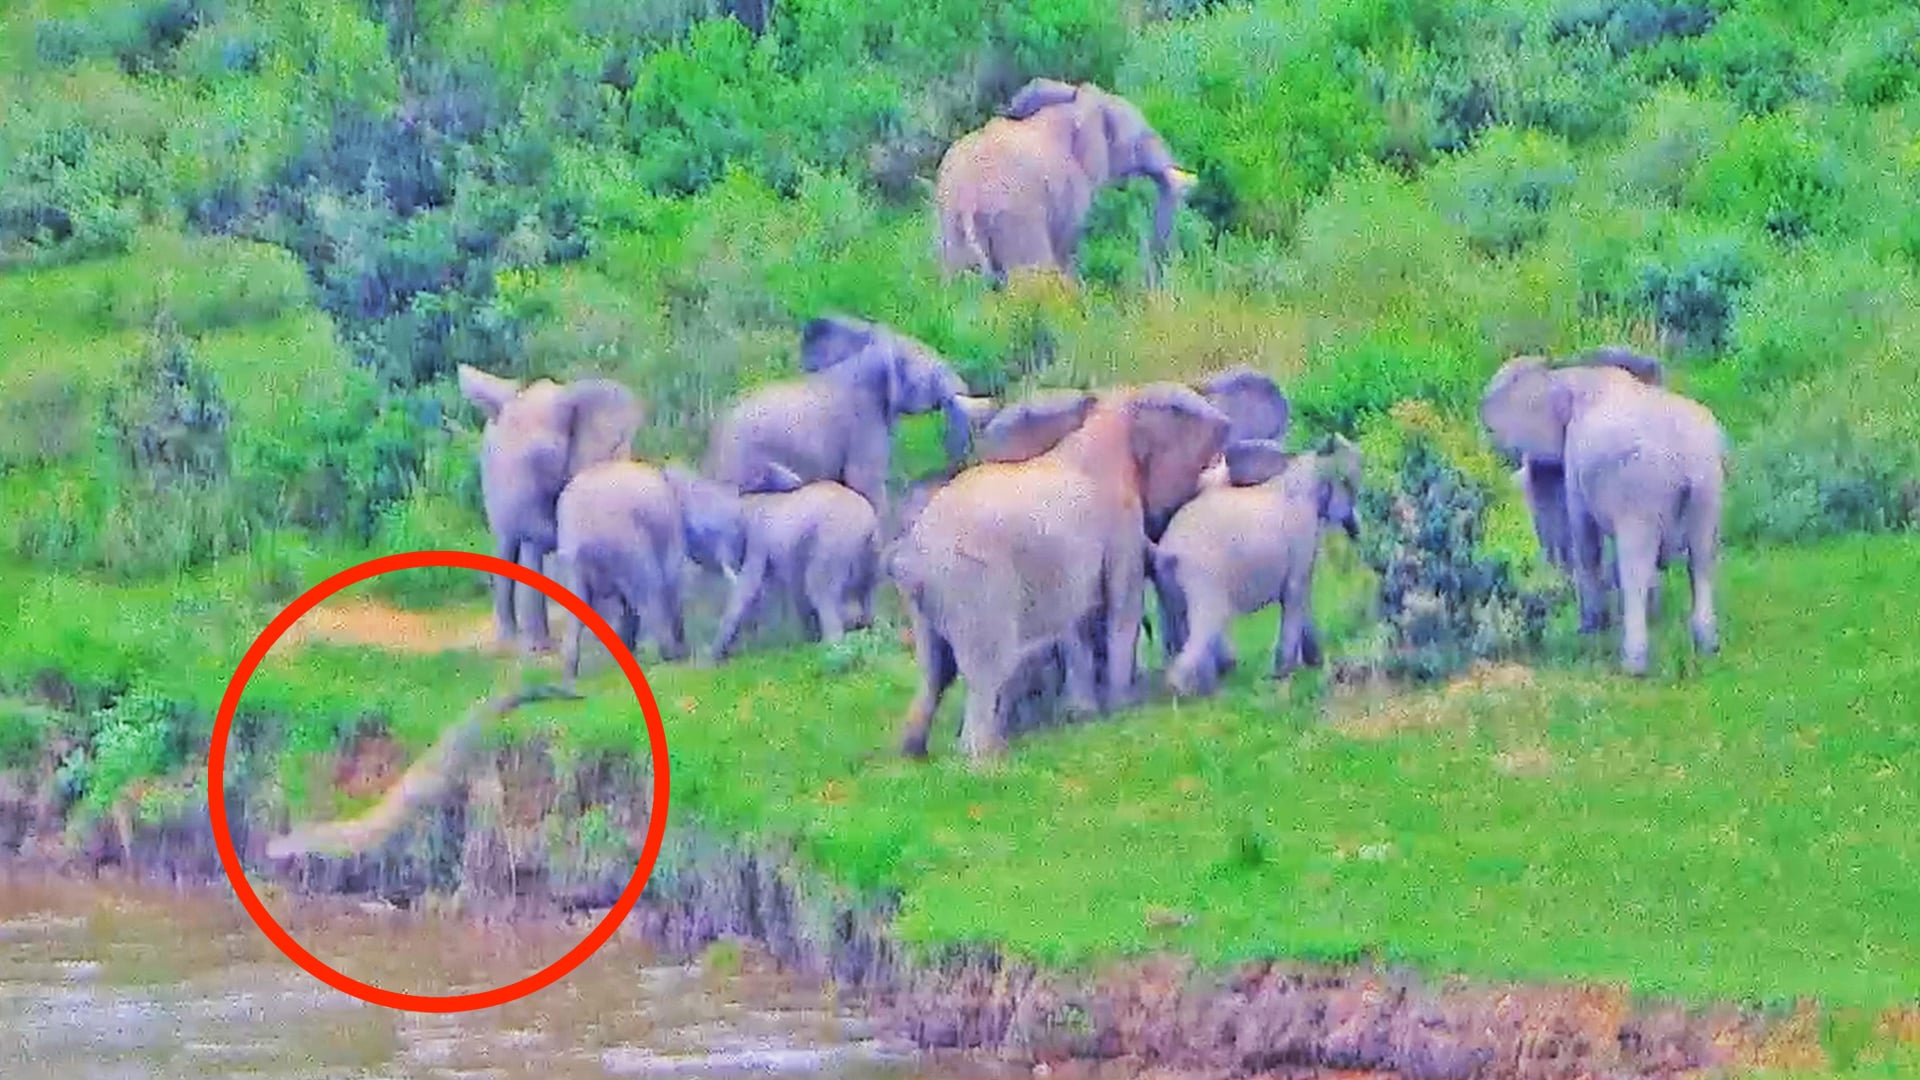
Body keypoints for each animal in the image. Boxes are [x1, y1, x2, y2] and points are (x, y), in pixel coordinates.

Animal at [552, 459, 697, 690]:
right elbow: (669, 583)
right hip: (629, 539)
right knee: (651, 592)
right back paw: (671, 656)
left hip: (572, 556)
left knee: (578, 608)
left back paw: (570, 675)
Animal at [667, 464, 882, 663]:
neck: (743, 502)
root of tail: (869, 525)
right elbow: (789, 587)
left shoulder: (758, 537)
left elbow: (749, 587)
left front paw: (711, 658)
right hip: (869, 554)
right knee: (865, 592)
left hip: (834, 539)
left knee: (819, 586)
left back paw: (830, 646)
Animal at [887, 383, 1232, 764]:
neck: (1114, 414)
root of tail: (912, 554)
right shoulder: (1119, 522)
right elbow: (1122, 607)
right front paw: (1124, 708)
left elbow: (1084, 616)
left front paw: (1089, 714)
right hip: (971, 584)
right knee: (987, 667)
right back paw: (986, 758)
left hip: (924, 600)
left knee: (935, 669)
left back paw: (912, 753)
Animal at [1150, 437, 1363, 697]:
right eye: (1350, 485)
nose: (1356, 532)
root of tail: (1165, 550)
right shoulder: (1301, 528)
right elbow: (1295, 590)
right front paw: (1283, 675)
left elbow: (1302, 593)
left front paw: (1313, 663)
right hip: (1201, 575)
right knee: (1206, 624)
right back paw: (1190, 693)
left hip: (1168, 581)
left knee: (1182, 621)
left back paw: (1203, 688)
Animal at [1479, 355, 1729, 676]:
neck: (1568, 373)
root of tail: (1684, 459)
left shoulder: (1576, 458)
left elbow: (1585, 536)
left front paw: (1589, 630)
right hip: (1709, 485)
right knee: (1702, 558)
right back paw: (1708, 648)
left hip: (1642, 487)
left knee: (1636, 564)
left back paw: (1633, 667)